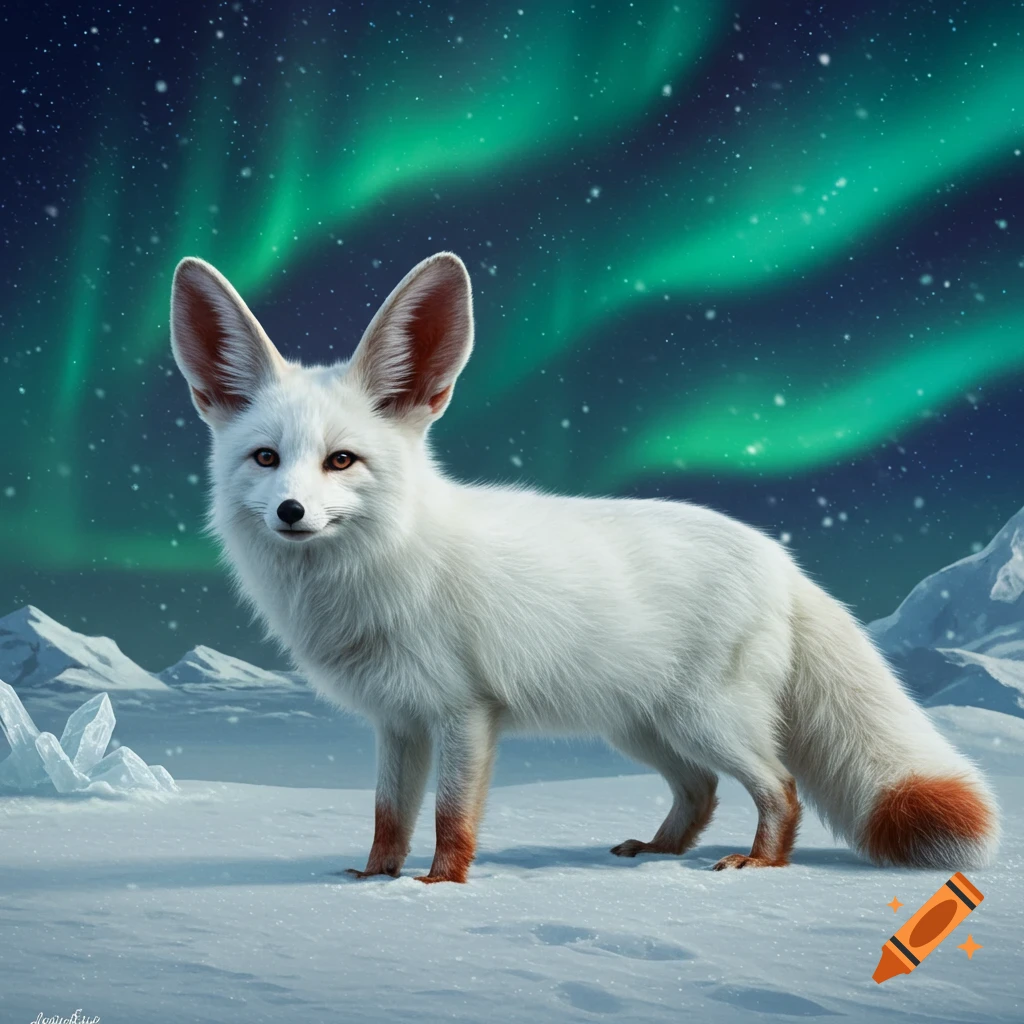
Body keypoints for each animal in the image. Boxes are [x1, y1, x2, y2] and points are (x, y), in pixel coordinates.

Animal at [169, 251, 999, 883]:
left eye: (341, 461)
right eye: (266, 459)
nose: (291, 512)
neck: (373, 575)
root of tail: (782, 558)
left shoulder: (465, 712)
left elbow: (450, 817)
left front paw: (439, 887)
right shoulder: (398, 720)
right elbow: (387, 816)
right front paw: (374, 881)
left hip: (706, 720)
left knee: (781, 787)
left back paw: (758, 864)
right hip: (644, 728)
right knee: (701, 791)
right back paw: (657, 851)